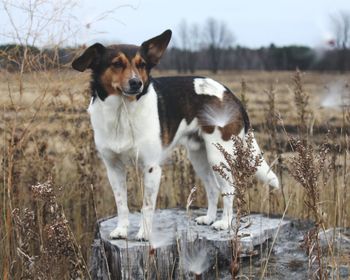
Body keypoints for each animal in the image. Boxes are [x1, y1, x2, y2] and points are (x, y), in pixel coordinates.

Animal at [72, 29, 278, 241]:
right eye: (117, 64)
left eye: (142, 64)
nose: (136, 83)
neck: (122, 111)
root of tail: (231, 94)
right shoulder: (113, 168)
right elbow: (121, 204)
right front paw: (121, 229)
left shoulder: (151, 168)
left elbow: (147, 206)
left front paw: (144, 233)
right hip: (199, 156)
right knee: (213, 188)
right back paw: (209, 218)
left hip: (218, 155)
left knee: (229, 189)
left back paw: (224, 223)